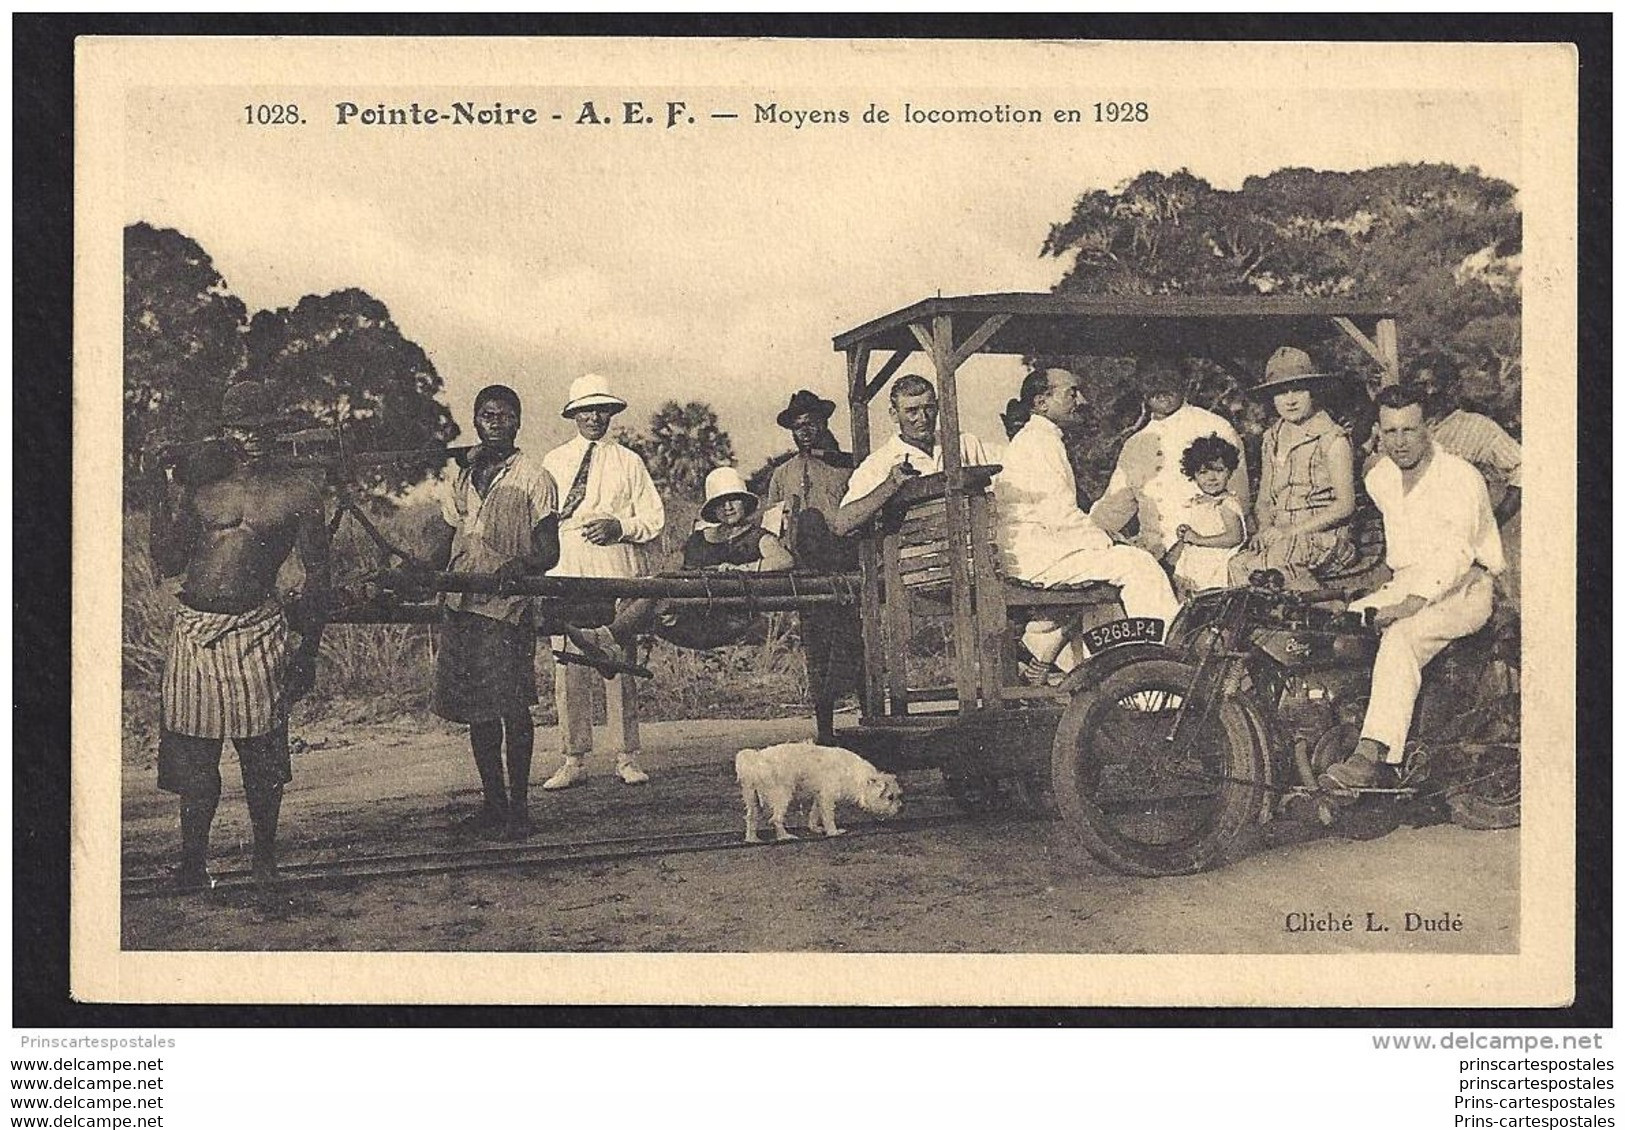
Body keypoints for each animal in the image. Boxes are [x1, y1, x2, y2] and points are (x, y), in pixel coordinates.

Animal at [737, 747, 903, 845]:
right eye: (890, 797)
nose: (900, 808)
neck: (856, 775)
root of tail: (755, 760)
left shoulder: (819, 797)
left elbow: (814, 813)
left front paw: (814, 828)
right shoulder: (827, 797)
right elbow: (829, 817)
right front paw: (833, 832)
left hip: (753, 800)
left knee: (751, 818)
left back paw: (752, 839)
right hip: (782, 796)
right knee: (776, 819)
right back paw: (785, 837)